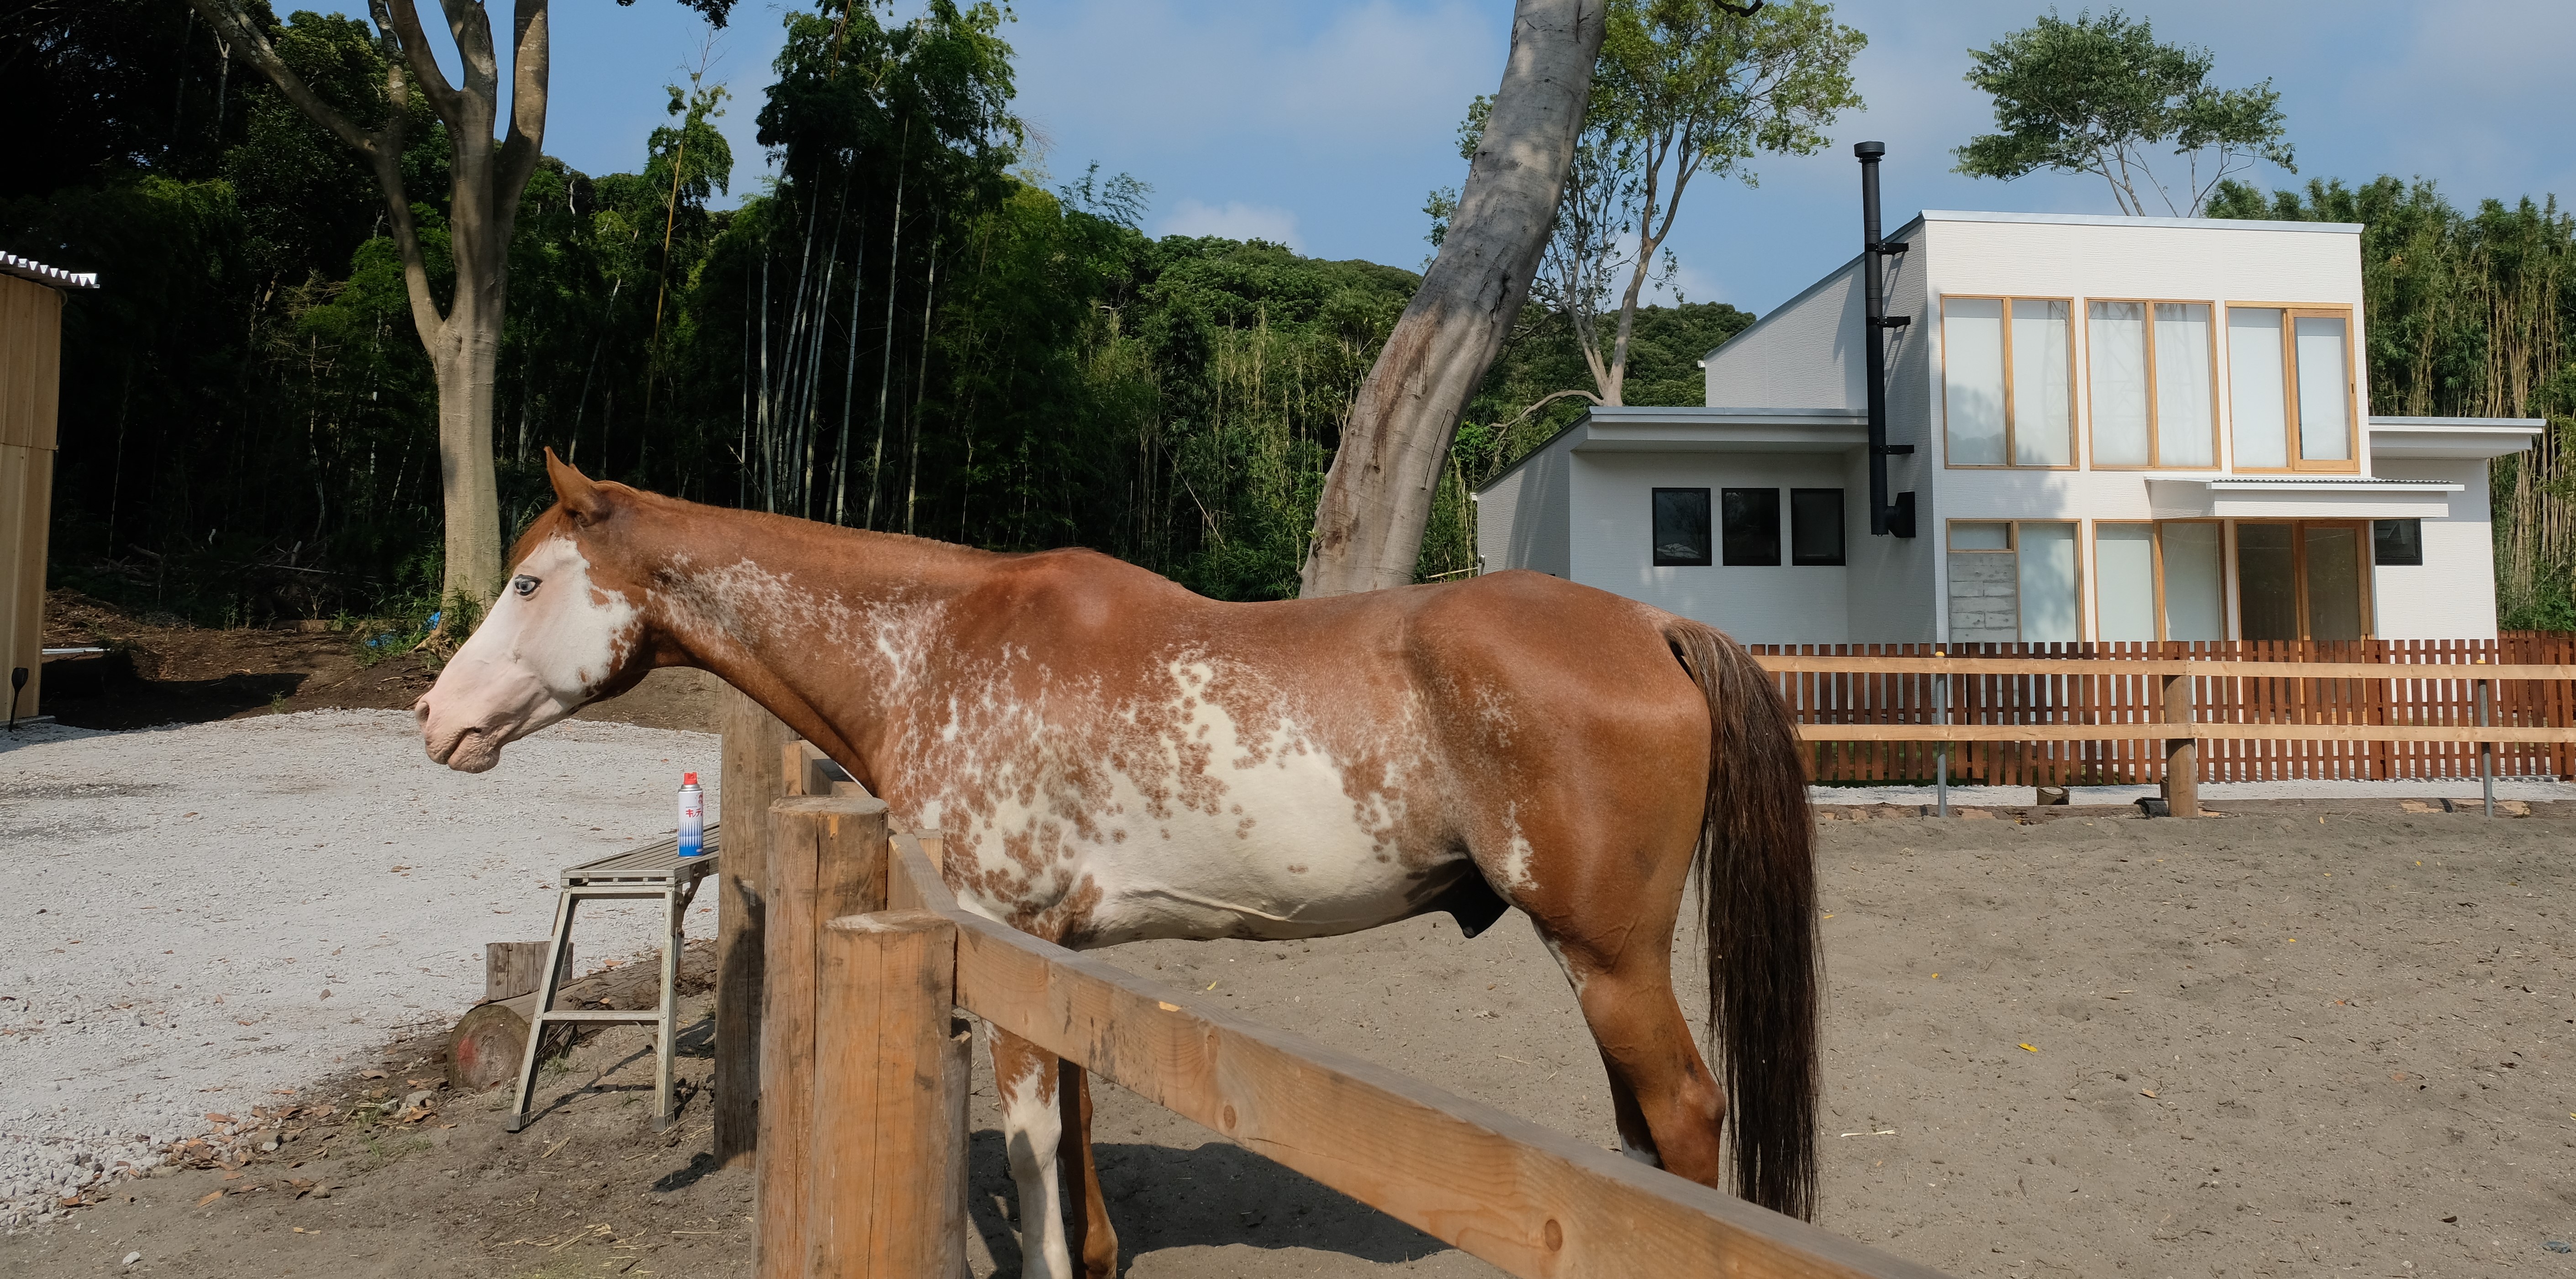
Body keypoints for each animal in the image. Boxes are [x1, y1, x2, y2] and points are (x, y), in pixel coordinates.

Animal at [412, 453, 1823, 1271]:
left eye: (530, 582)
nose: (435, 717)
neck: (938, 647)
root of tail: (1652, 623)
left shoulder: (1003, 938)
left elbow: (1039, 1152)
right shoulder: (1057, 959)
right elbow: (1080, 1141)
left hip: (1610, 958)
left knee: (1685, 1118)